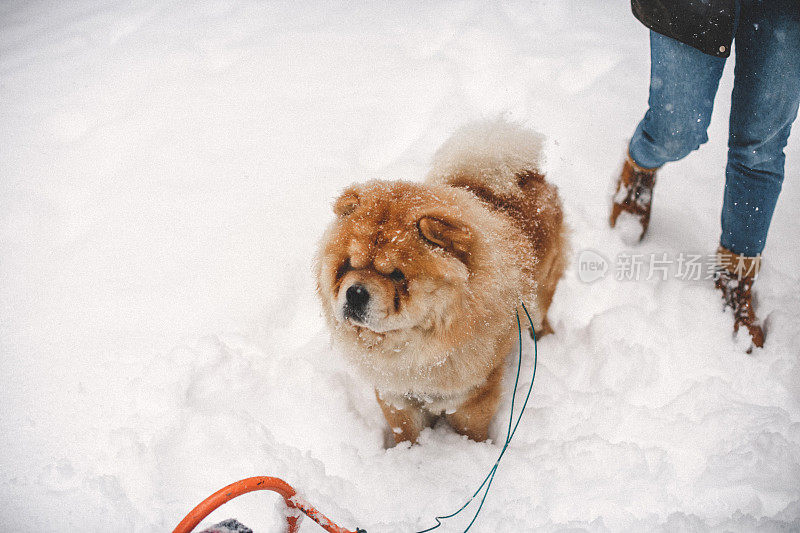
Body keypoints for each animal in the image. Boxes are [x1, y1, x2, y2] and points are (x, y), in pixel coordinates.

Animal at [316, 120, 564, 444]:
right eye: (348, 266)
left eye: (397, 275)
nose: (355, 293)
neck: (415, 348)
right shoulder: (396, 394)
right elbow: (405, 431)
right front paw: (407, 452)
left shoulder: (471, 395)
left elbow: (471, 432)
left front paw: (471, 450)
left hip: (544, 287)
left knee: (542, 313)